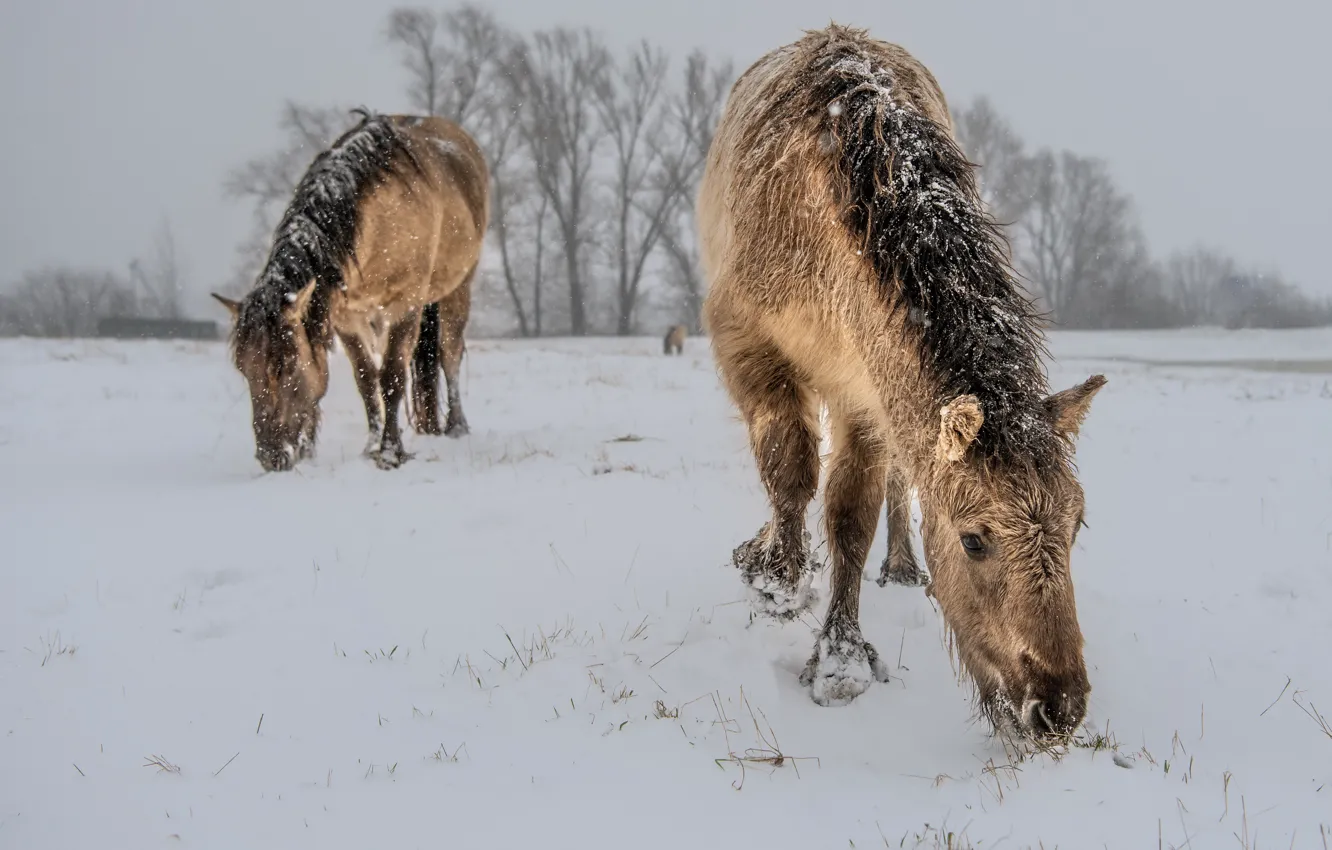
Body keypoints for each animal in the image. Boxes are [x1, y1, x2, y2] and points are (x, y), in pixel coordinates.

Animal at [212, 109, 488, 472]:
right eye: (244, 370)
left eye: (289, 367)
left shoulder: (405, 305)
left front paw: (390, 452)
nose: (271, 458)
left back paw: (457, 427)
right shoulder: (346, 317)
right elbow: (367, 379)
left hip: (459, 287)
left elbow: (392, 377)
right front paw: (370, 447)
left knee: (449, 353)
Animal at [698, 25, 1107, 741]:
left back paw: (901, 565)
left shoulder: (865, 391)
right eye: (974, 539)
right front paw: (778, 581)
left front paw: (839, 656)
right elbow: (788, 469)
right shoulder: (748, 348)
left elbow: (852, 513)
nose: (1058, 706)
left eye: (1077, 523)